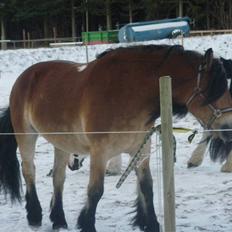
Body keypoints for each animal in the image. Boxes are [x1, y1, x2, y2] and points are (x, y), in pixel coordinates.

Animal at [0, 44, 232, 231]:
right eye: (214, 90)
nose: (229, 129)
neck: (126, 92)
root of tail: (26, 76)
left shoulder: (142, 148)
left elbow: (147, 187)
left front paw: (151, 224)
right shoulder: (100, 152)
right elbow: (95, 191)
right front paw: (87, 224)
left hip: (62, 143)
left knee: (58, 177)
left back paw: (58, 220)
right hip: (26, 135)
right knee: (29, 171)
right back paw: (34, 215)